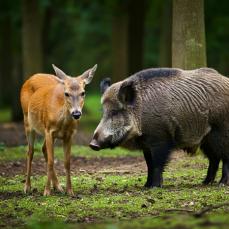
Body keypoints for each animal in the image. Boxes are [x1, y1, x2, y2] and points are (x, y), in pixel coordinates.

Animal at [19, 64, 97, 195]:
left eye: (83, 92)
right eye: (66, 93)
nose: (76, 113)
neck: (63, 123)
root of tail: (31, 77)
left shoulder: (69, 135)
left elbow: (67, 162)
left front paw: (69, 191)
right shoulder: (49, 130)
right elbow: (51, 161)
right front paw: (46, 192)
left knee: (43, 149)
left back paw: (58, 186)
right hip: (27, 121)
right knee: (30, 151)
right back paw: (27, 187)